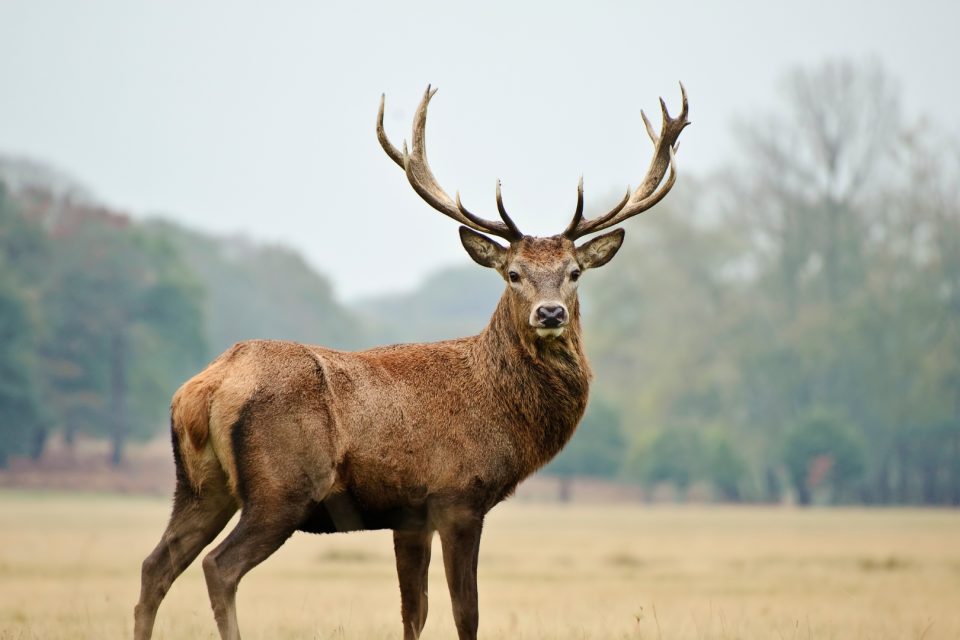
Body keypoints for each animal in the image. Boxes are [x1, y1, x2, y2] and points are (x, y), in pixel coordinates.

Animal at [133, 85, 688, 640]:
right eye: (513, 273)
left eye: (574, 272)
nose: (549, 313)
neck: (501, 410)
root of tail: (205, 387)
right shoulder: (458, 496)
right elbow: (466, 612)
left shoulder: (408, 516)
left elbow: (413, 611)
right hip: (282, 487)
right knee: (218, 566)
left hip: (200, 486)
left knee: (156, 564)